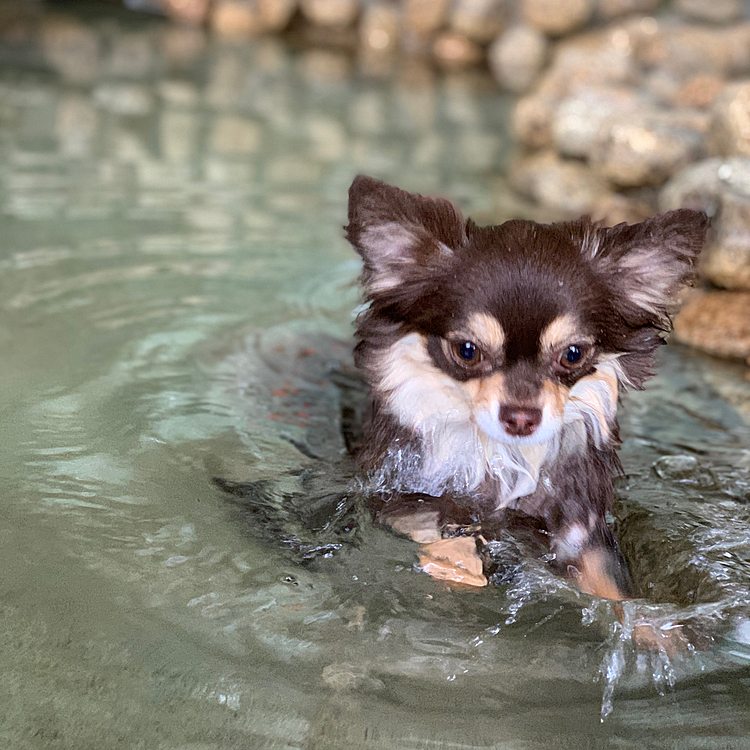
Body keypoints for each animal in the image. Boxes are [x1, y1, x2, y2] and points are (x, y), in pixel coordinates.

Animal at [346, 175, 712, 600]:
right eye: (467, 351)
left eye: (572, 354)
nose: (521, 418)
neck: (505, 462)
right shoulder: (399, 496)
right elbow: (438, 526)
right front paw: (459, 560)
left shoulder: (582, 528)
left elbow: (609, 582)